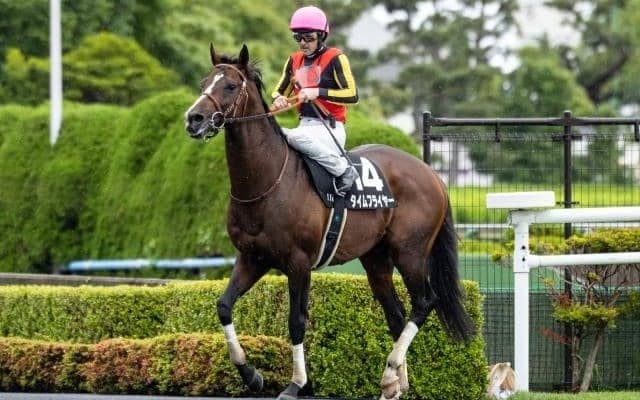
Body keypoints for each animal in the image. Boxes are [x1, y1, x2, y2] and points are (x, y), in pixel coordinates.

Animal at [184, 44, 474, 400]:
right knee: (395, 314)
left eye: (229, 86)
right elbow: (224, 305)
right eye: (203, 83)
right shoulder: (252, 258)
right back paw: (393, 383)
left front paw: (297, 385)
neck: (267, 182)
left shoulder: (298, 263)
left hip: (410, 252)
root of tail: (432, 174)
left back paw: (391, 371)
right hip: (376, 258)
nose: (194, 119)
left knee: (424, 302)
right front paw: (251, 375)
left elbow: (296, 321)